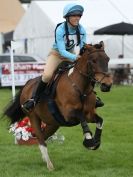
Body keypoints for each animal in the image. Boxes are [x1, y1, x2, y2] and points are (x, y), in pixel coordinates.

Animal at [3, 41, 112, 170]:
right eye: (93, 61)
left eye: (107, 59)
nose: (107, 85)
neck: (80, 87)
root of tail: (27, 84)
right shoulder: (69, 114)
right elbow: (82, 118)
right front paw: (89, 141)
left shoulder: (89, 113)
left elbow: (100, 120)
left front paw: (96, 142)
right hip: (33, 117)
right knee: (40, 139)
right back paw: (49, 165)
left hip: (53, 123)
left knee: (41, 137)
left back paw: (44, 159)